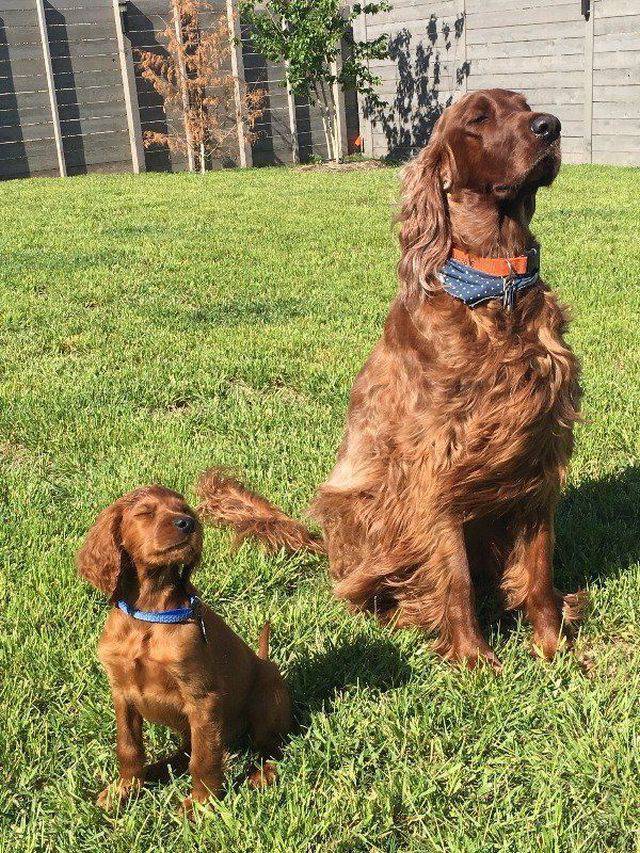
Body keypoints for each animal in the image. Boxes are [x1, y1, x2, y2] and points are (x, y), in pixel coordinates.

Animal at [75, 486, 292, 812]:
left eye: (186, 510)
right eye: (145, 513)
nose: (187, 524)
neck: (149, 614)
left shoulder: (203, 698)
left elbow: (204, 759)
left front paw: (200, 806)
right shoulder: (121, 692)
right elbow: (128, 747)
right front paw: (125, 789)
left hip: (266, 699)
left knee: (271, 747)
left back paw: (261, 773)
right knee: (187, 749)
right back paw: (157, 769)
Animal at [198, 88, 588, 672]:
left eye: (525, 106)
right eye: (477, 119)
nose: (550, 125)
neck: (494, 290)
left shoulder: (537, 453)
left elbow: (539, 571)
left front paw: (552, 649)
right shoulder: (433, 465)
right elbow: (453, 577)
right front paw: (475, 662)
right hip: (358, 505)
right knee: (362, 587)